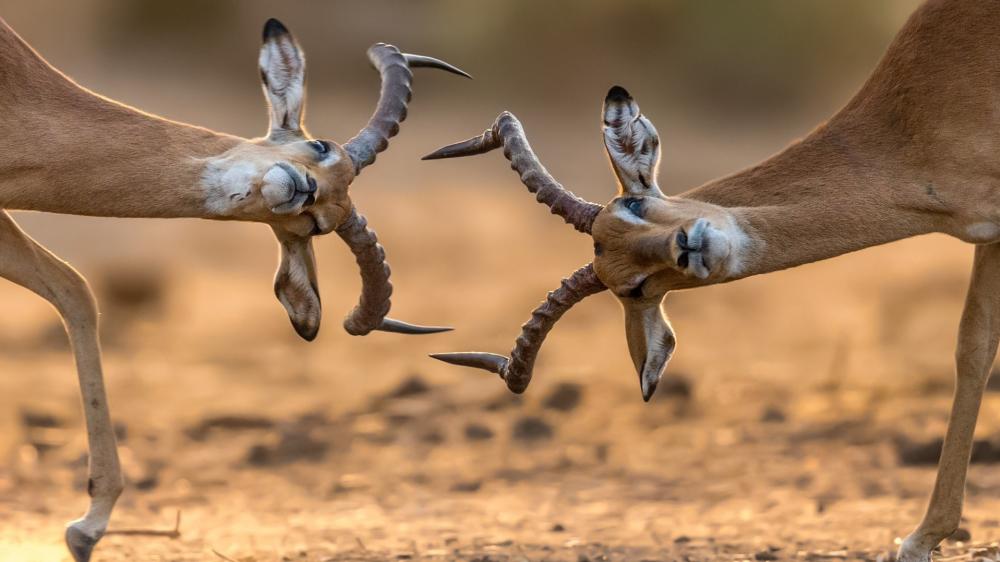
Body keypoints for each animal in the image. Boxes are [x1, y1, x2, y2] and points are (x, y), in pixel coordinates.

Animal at [426, 1, 1000, 560]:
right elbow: (973, 349)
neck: (915, 118)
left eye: (636, 205)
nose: (689, 245)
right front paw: (923, 538)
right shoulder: (989, 233)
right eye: (632, 287)